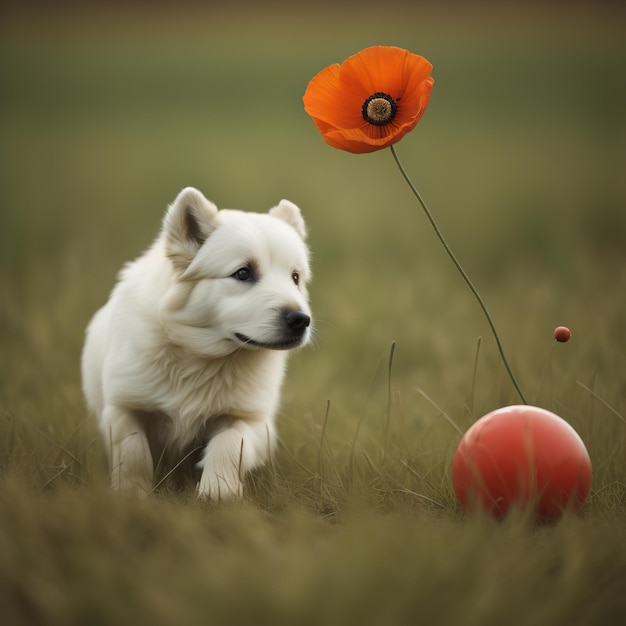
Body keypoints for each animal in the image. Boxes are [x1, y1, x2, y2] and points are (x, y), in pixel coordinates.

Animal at [80, 188, 310, 500]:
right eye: (243, 273)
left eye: (295, 277)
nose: (301, 320)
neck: (200, 355)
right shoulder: (122, 405)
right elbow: (132, 449)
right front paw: (132, 493)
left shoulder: (251, 418)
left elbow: (229, 443)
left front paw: (218, 492)